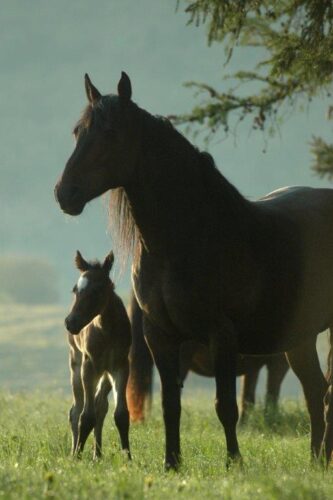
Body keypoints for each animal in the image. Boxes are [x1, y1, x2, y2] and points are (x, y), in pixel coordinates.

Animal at [63, 252, 131, 458]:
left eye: (98, 290)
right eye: (76, 290)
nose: (70, 322)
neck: (106, 331)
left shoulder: (120, 366)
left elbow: (121, 414)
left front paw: (128, 457)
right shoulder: (89, 366)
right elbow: (86, 416)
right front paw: (77, 455)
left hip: (105, 374)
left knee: (101, 407)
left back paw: (97, 456)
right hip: (76, 366)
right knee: (76, 410)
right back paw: (74, 452)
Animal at [126, 292, 290, 424]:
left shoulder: (254, 366)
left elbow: (248, 396)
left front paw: (245, 424)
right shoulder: (278, 363)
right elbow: (271, 393)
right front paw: (269, 419)